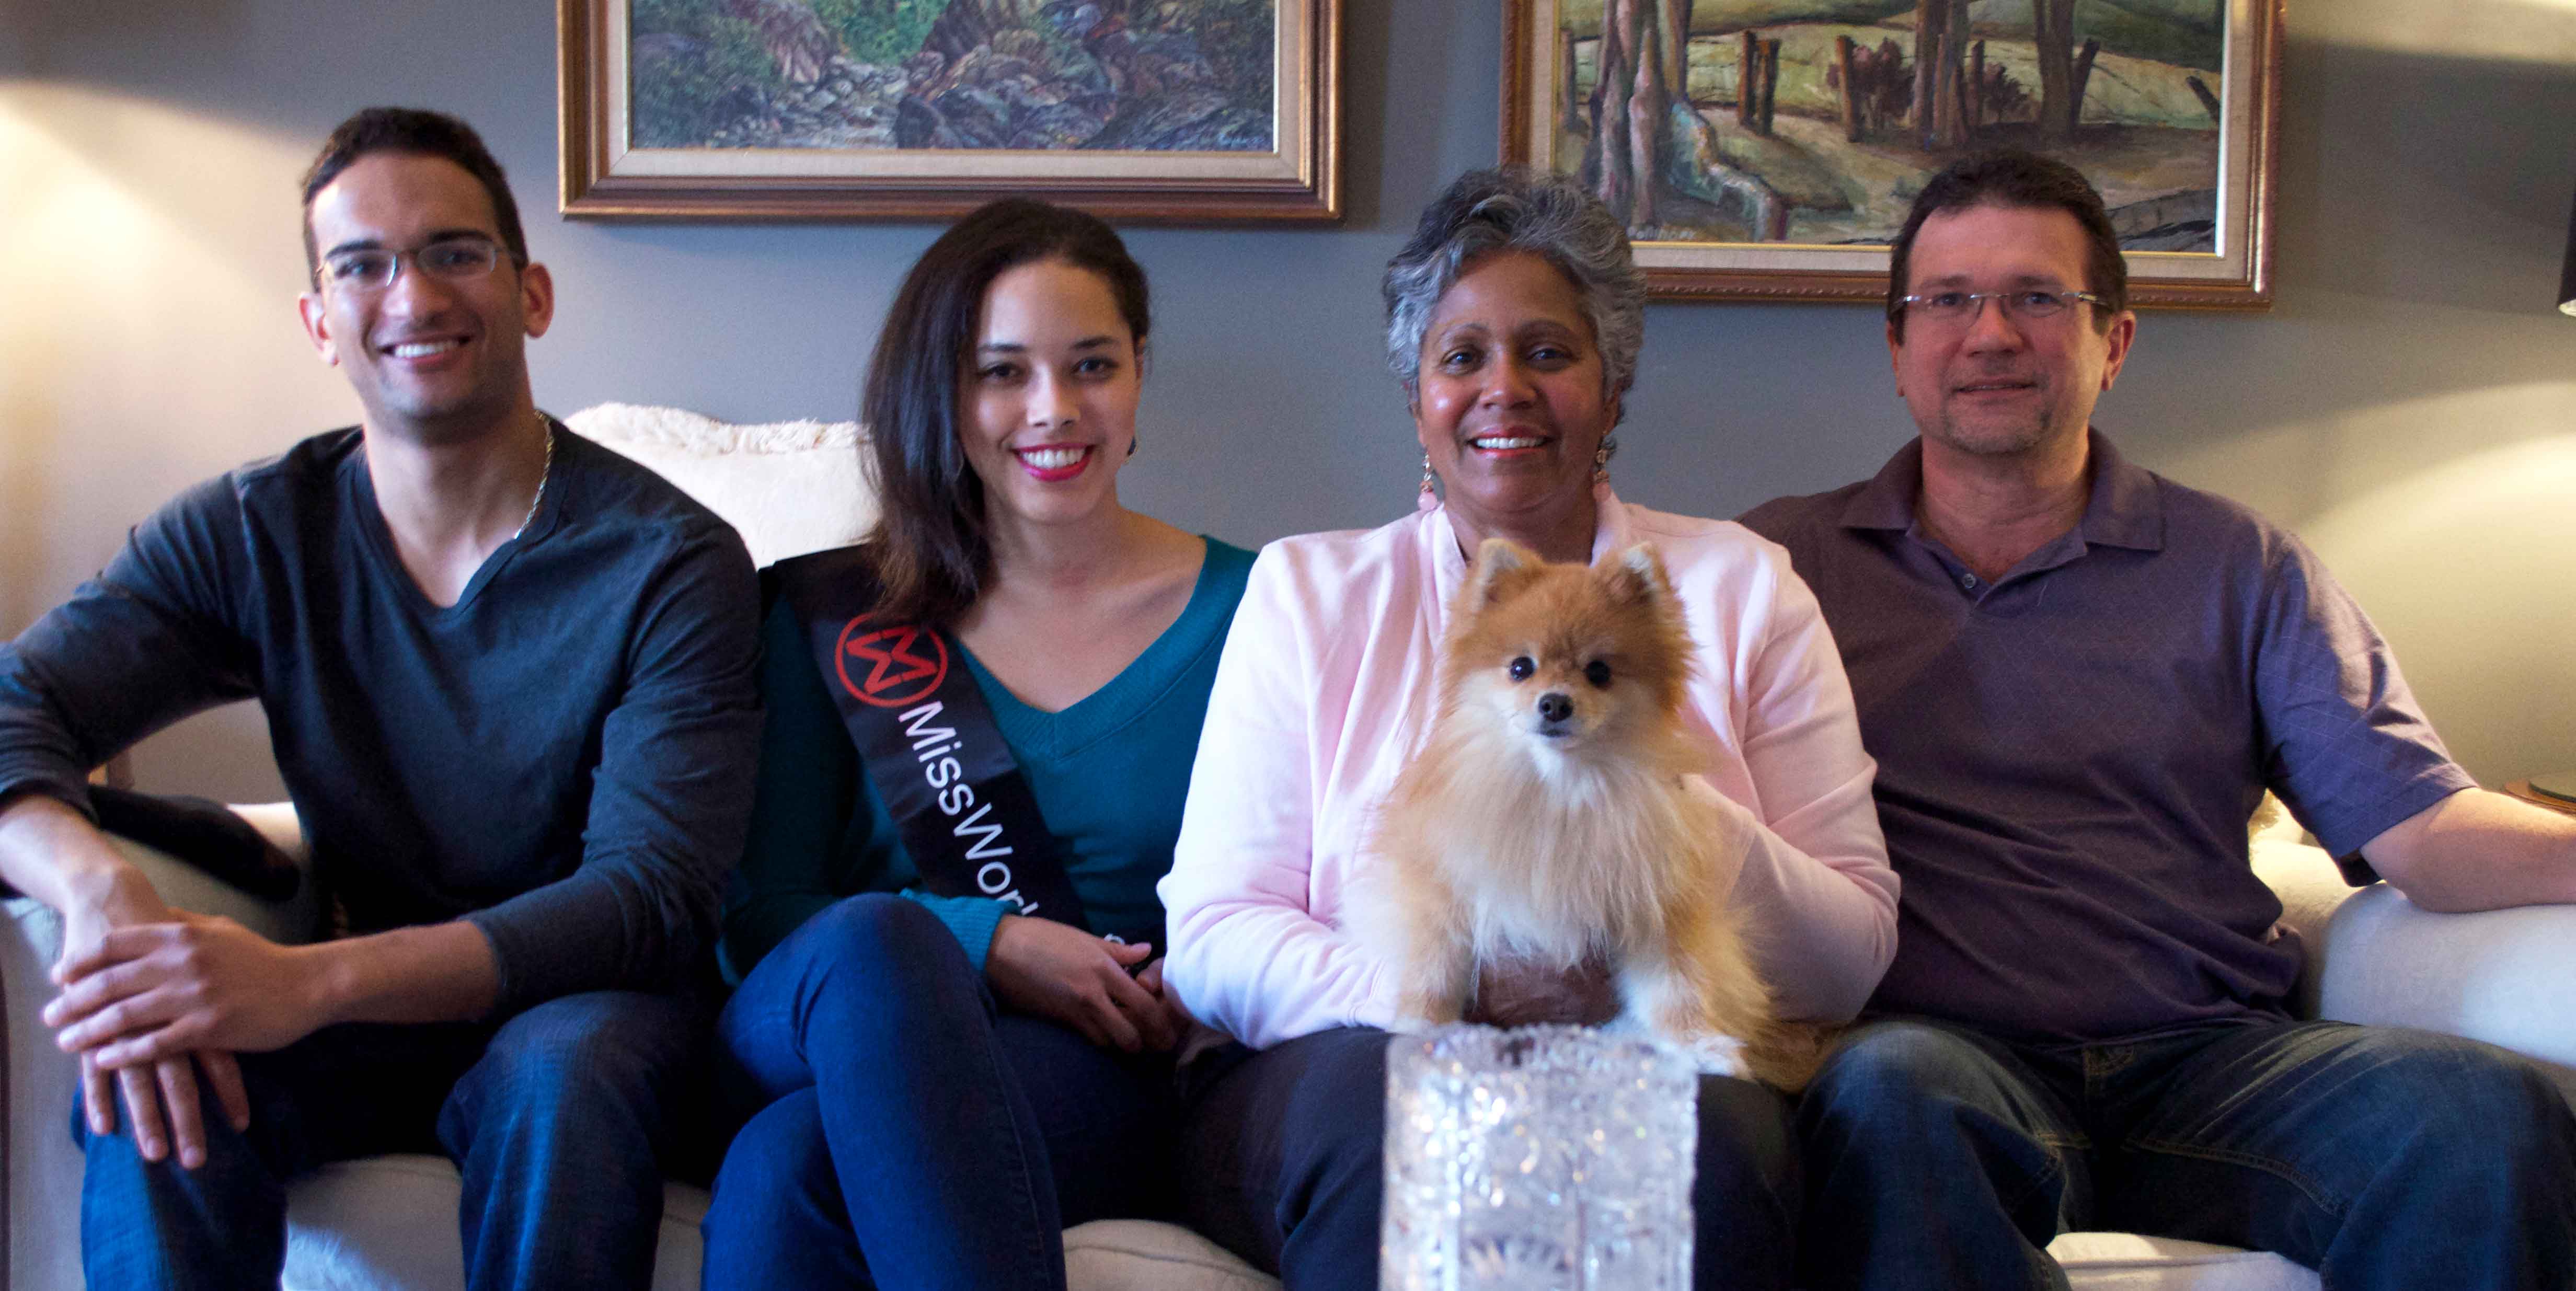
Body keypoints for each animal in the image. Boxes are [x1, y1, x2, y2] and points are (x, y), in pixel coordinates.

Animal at [1370, 533, 1813, 1087]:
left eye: (1599, 672)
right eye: (1521, 668)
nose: (1555, 703)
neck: (1561, 788)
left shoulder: (1656, 907)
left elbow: (1678, 986)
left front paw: (1699, 1045)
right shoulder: (1441, 890)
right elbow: (1434, 967)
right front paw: (1421, 1027)